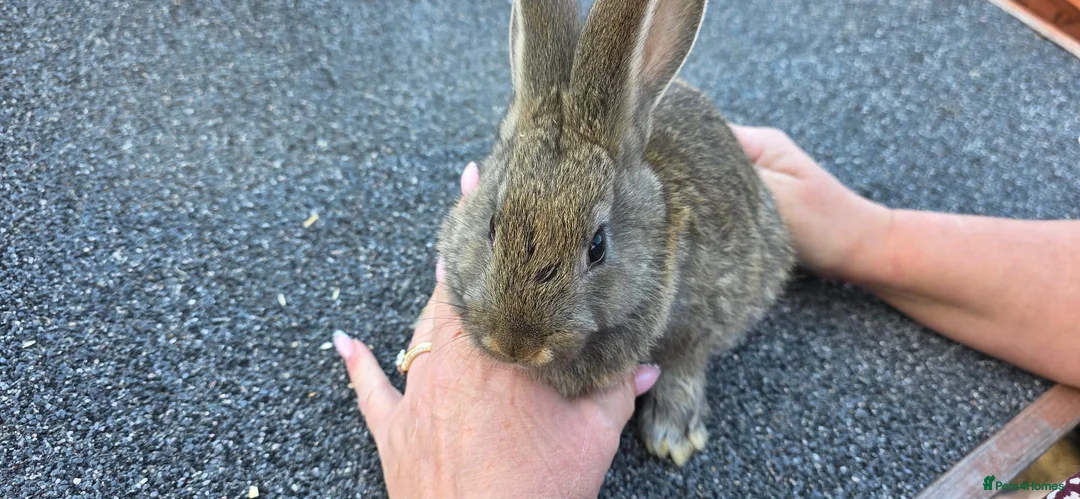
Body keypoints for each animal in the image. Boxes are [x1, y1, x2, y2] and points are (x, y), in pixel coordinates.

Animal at [436, 0, 794, 466]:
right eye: (492, 225)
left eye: (598, 246)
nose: (514, 346)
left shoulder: (708, 309)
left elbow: (686, 361)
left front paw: (673, 435)